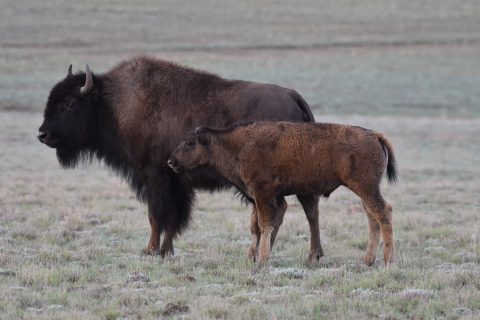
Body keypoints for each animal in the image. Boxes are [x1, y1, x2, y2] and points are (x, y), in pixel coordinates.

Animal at [36, 55, 316, 258]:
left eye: (70, 103)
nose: (42, 134)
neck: (113, 104)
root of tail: (294, 96)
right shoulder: (176, 183)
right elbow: (172, 218)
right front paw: (165, 251)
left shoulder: (153, 177)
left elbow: (156, 215)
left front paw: (150, 251)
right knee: (300, 209)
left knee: (291, 210)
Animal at [169, 120, 398, 264]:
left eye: (189, 143)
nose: (171, 161)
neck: (239, 145)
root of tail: (375, 135)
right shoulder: (263, 197)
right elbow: (256, 226)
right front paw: (253, 256)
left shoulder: (263, 194)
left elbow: (264, 224)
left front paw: (261, 259)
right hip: (365, 190)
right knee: (372, 218)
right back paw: (367, 261)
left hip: (365, 188)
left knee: (383, 212)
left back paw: (387, 260)